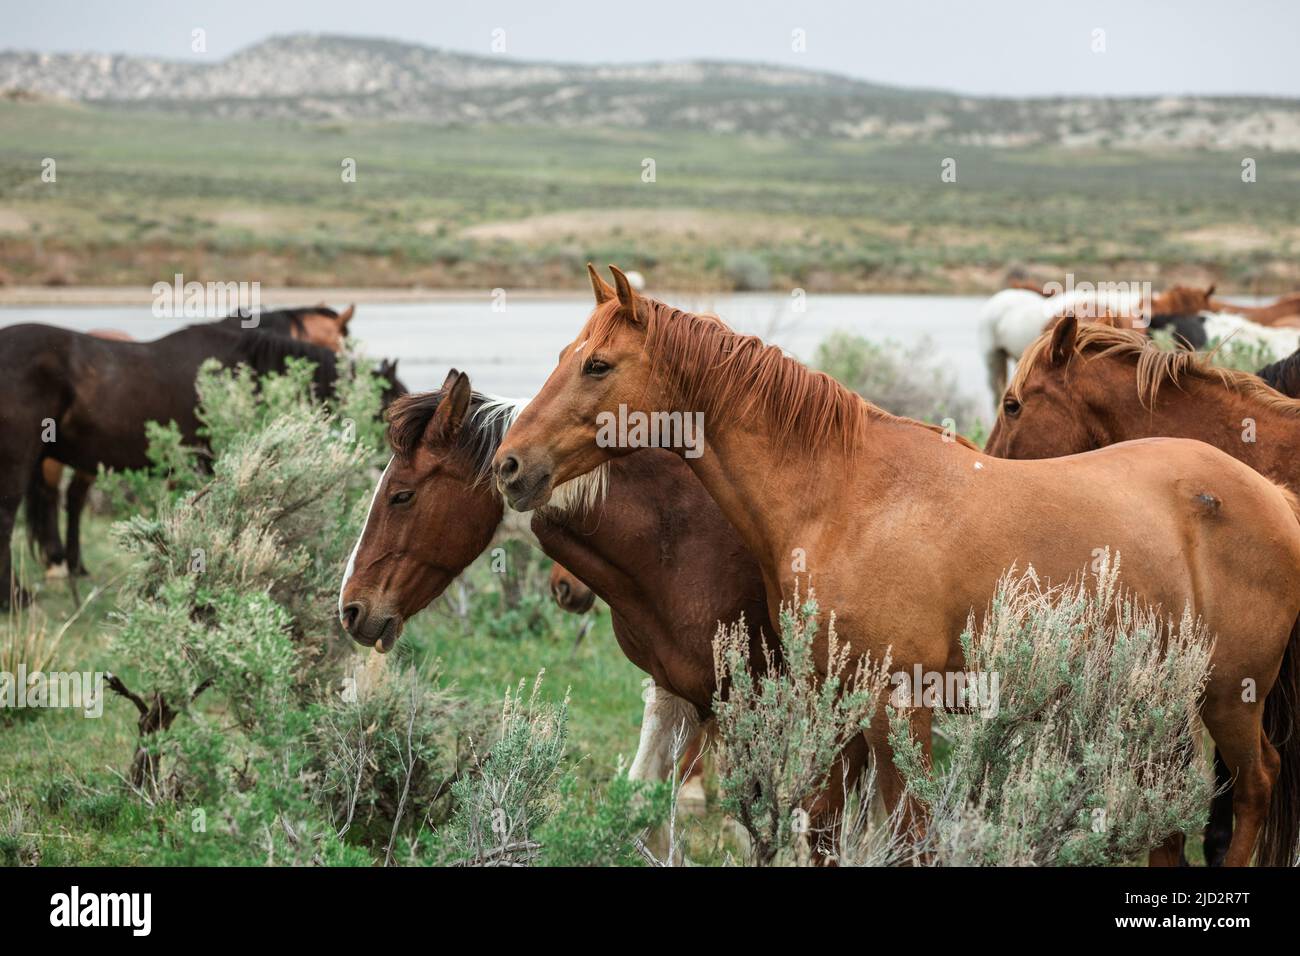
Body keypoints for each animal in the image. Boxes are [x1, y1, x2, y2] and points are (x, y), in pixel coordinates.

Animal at [492, 263, 1300, 867]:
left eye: (597, 364)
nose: (509, 465)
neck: (847, 497)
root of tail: (1273, 496)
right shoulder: (835, 708)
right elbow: (824, 828)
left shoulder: (898, 707)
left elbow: (911, 833)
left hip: (1231, 696)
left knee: (1256, 787)